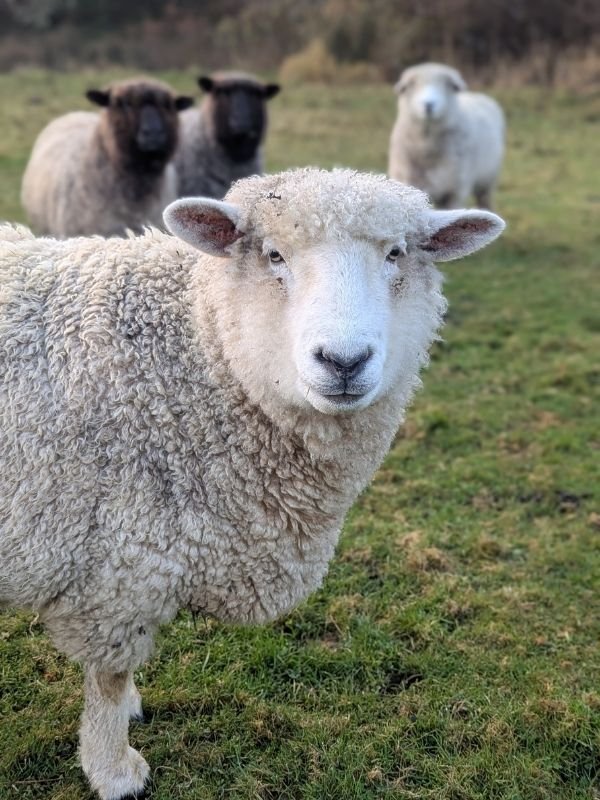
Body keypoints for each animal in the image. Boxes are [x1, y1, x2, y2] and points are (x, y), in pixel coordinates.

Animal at [0, 168, 504, 800]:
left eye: (395, 254)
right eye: (273, 255)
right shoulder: (118, 570)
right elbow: (109, 678)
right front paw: (114, 768)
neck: (194, 357)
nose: (343, 361)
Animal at [388, 62, 505, 210]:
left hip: (486, 182)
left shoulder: (453, 192)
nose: (429, 104)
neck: (426, 147)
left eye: (447, 85)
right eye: (411, 86)